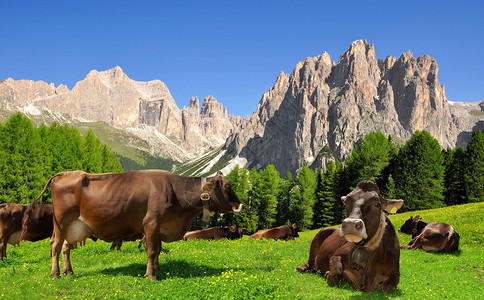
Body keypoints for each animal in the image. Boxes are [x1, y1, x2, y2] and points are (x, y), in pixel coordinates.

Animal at [21, 170, 244, 280]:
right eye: (227, 186)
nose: (240, 205)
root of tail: (65, 173)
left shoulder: (159, 226)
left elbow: (158, 250)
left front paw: (158, 271)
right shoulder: (151, 222)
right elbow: (152, 250)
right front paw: (150, 275)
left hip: (75, 226)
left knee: (66, 247)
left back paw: (69, 271)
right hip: (60, 222)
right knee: (55, 245)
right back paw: (55, 273)